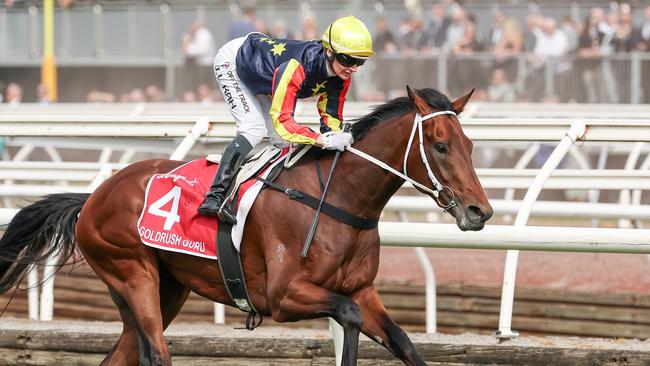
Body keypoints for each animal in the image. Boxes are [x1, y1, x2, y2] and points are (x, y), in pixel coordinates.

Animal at [0, 87, 488, 364]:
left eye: (468, 144)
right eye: (440, 146)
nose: (480, 211)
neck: (338, 198)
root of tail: (93, 198)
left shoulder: (362, 290)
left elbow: (402, 341)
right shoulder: (283, 296)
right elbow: (346, 317)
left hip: (165, 290)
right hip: (131, 272)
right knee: (156, 352)